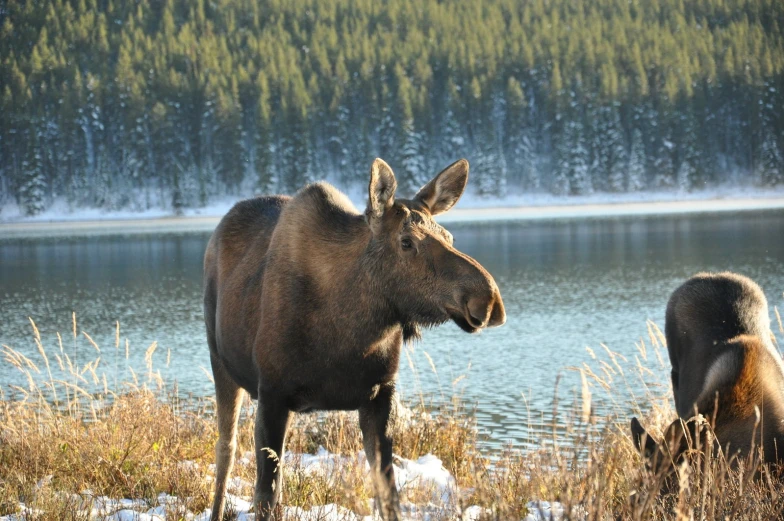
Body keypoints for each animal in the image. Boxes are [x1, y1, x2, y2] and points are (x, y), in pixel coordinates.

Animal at [204, 158, 508, 520]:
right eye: (406, 241)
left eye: (450, 236)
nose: (488, 300)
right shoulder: (272, 394)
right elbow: (264, 494)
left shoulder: (379, 395)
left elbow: (388, 494)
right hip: (221, 364)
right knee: (226, 449)